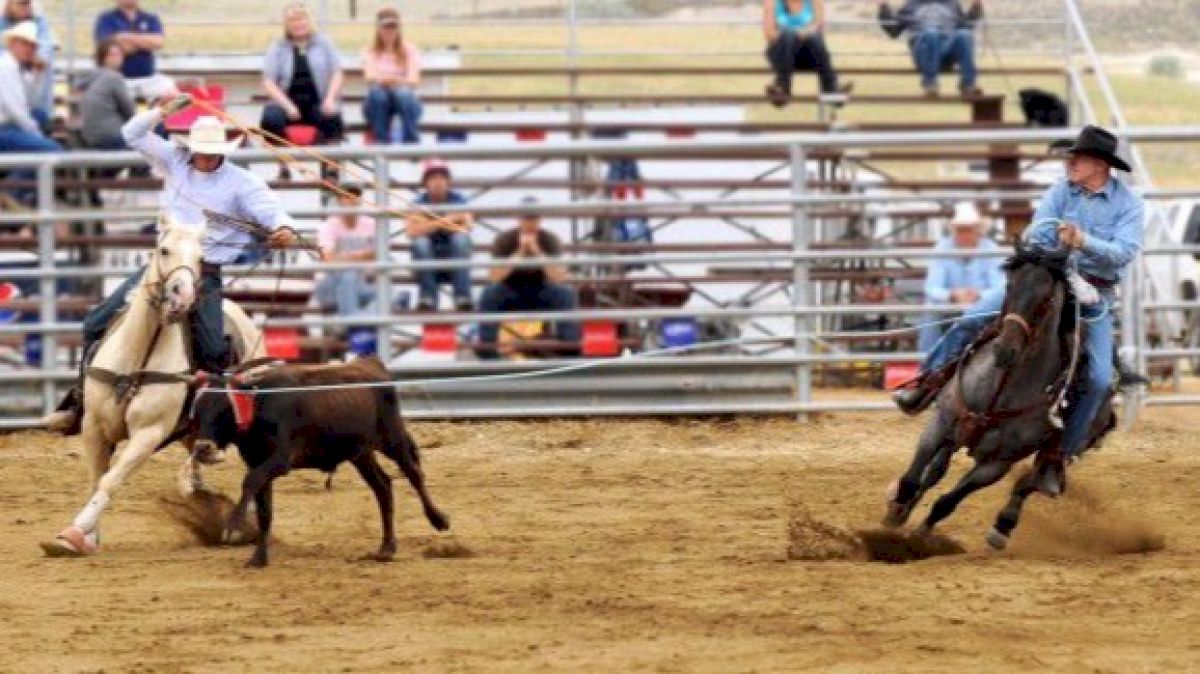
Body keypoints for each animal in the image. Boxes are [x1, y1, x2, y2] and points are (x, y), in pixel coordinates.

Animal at [45, 218, 267, 554]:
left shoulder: (149, 433)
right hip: (191, 432)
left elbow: (111, 479)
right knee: (198, 457)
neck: (138, 356)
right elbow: (97, 479)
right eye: (164, 250)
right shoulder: (94, 427)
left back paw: (241, 524)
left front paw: (76, 531)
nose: (182, 295)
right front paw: (85, 537)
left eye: (202, 258)